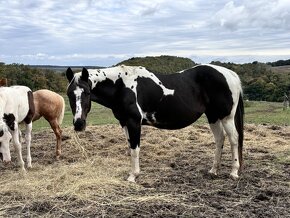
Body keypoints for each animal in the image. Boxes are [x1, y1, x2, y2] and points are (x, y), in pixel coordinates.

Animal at [66, 64, 245, 182]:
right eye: (69, 94)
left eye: (87, 92)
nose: (79, 124)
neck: (121, 85)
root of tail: (231, 74)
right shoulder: (124, 122)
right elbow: (130, 147)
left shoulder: (134, 122)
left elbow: (135, 149)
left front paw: (133, 176)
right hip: (213, 116)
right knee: (220, 139)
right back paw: (213, 170)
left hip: (226, 117)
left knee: (234, 139)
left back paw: (234, 172)